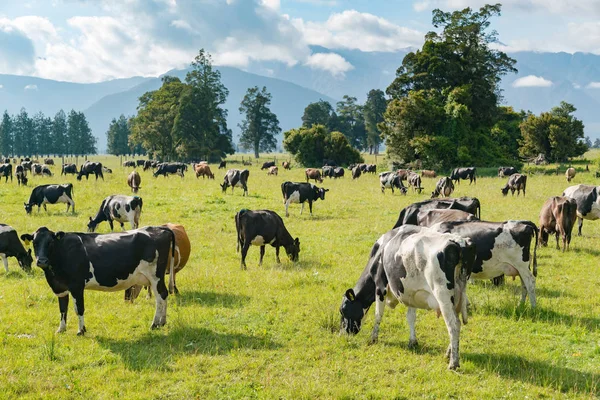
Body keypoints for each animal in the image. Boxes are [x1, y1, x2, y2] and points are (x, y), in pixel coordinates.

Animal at [20, 225, 176, 334]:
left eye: (50, 243)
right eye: (34, 243)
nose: (41, 261)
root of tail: (159, 228)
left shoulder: (77, 286)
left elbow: (79, 309)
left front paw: (81, 330)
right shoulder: (61, 288)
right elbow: (63, 309)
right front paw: (61, 329)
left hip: (155, 276)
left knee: (160, 297)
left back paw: (155, 324)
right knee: (164, 295)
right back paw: (162, 322)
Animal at [340, 225, 476, 368]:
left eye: (343, 311)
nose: (342, 334)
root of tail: (459, 242)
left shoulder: (380, 287)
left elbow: (378, 315)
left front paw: (373, 338)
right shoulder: (411, 293)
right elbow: (411, 317)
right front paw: (412, 341)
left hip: (442, 295)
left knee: (453, 325)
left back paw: (453, 362)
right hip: (458, 295)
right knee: (457, 322)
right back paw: (448, 353)